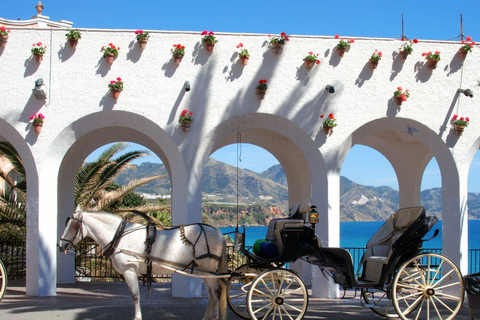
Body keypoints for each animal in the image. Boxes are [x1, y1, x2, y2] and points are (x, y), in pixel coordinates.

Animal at [57, 208, 227, 320]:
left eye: (73, 226)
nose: (61, 245)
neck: (120, 236)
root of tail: (219, 233)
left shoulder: (130, 270)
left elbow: (135, 295)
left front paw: (137, 317)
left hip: (208, 269)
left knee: (216, 292)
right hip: (203, 271)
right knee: (212, 294)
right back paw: (207, 317)